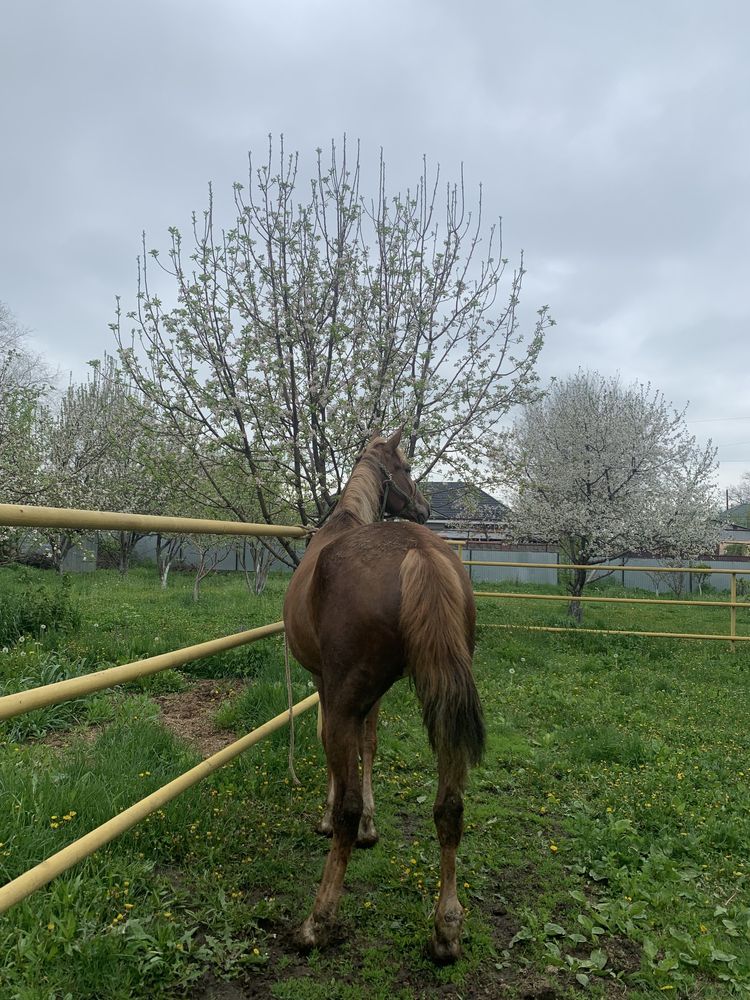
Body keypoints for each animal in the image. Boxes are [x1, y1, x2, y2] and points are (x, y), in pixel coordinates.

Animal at [284, 428, 488, 960]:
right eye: (408, 469)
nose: (422, 506)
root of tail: (421, 551)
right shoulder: (371, 697)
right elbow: (370, 744)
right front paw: (374, 827)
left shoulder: (329, 689)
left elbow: (341, 771)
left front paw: (330, 819)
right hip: (446, 705)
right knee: (450, 807)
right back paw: (446, 929)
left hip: (342, 699)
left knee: (348, 808)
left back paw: (317, 921)